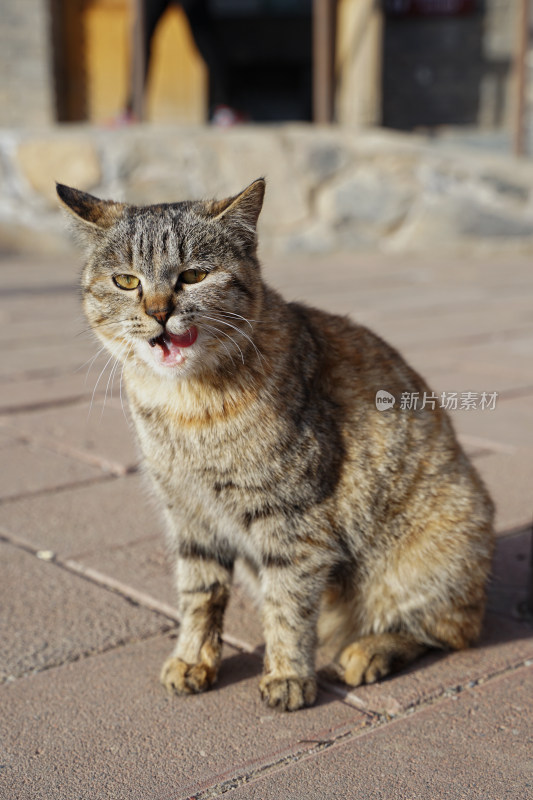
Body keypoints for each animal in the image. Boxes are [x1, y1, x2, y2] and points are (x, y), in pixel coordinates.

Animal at [58, 181, 494, 712]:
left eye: (193, 275)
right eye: (126, 281)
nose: (159, 312)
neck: (187, 409)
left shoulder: (293, 521)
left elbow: (287, 604)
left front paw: (287, 674)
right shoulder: (189, 517)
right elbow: (200, 596)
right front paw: (193, 659)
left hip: (432, 549)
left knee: (447, 630)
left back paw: (367, 651)